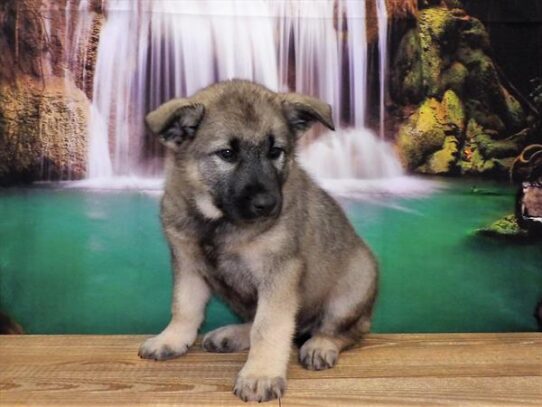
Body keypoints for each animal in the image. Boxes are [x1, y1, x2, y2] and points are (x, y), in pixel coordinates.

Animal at [139, 80, 378, 404]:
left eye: (275, 151)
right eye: (227, 153)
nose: (268, 204)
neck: (218, 222)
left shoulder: (279, 274)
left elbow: (269, 327)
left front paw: (260, 374)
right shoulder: (188, 266)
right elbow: (184, 307)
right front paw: (172, 339)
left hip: (356, 283)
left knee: (345, 330)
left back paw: (321, 345)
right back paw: (232, 335)